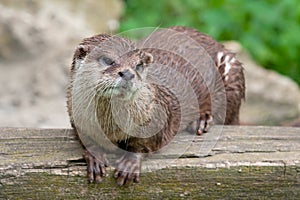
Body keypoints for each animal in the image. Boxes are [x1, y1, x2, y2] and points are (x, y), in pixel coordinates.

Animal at [65, 26, 244, 186]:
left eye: (138, 65)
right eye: (108, 60)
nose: (128, 73)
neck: (111, 126)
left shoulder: (159, 114)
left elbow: (147, 143)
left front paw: (130, 163)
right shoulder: (75, 115)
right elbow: (86, 138)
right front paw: (95, 157)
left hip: (231, 73)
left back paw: (201, 121)